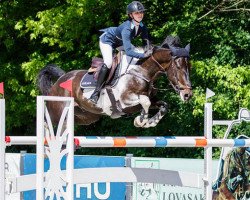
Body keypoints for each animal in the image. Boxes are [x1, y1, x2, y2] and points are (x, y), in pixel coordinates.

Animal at [37, 36, 192, 128]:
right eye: (178, 66)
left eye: (189, 66)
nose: (187, 94)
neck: (141, 70)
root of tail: (60, 79)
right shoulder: (124, 101)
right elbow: (145, 101)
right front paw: (141, 120)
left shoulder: (143, 102)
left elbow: (163, 105)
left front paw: (149, 122)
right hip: (58, 112)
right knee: (48, 121)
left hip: (87, 116)